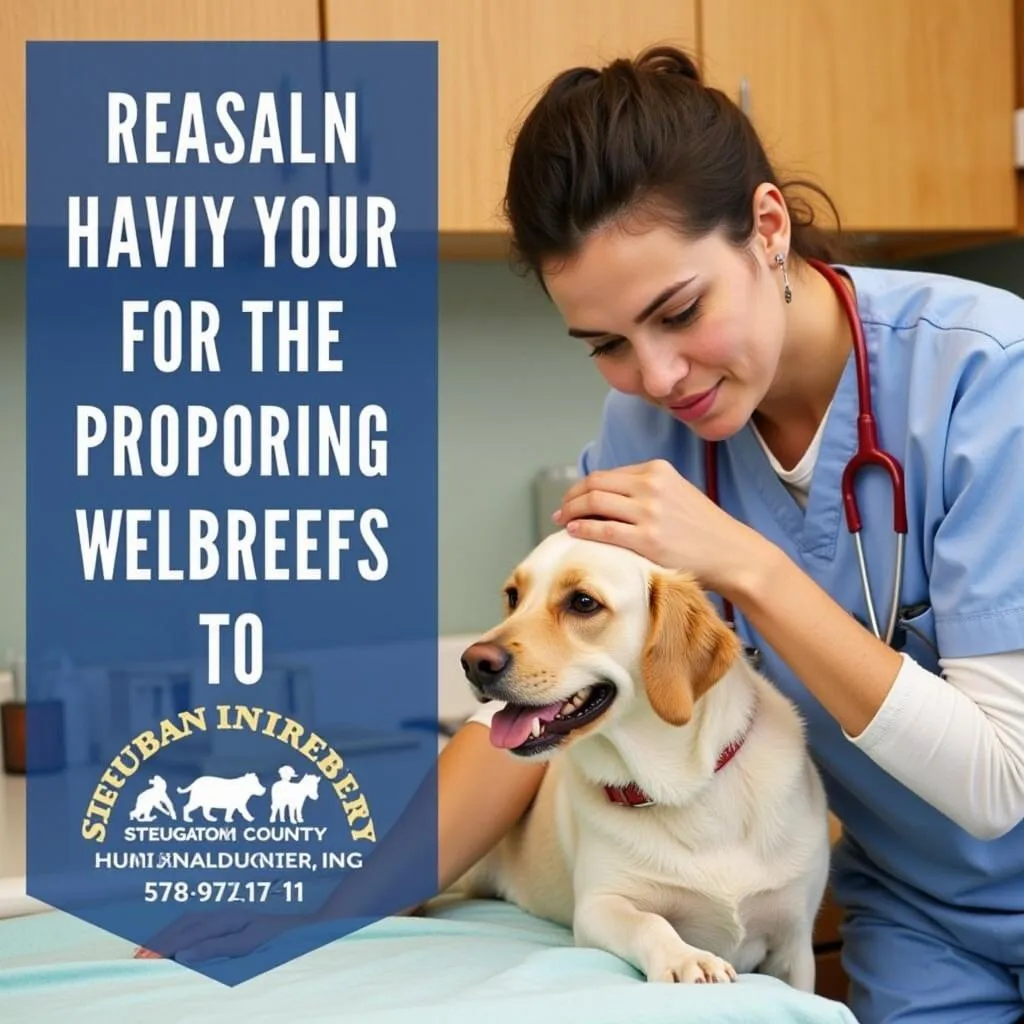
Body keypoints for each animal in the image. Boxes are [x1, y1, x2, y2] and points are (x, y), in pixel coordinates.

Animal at [456, 532, 831, 987]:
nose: (473, 662)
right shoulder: (599, 906)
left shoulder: (795, 948)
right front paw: (689, 958)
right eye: (513, 596)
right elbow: (651, 922)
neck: (682, 789)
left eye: (583, 602)